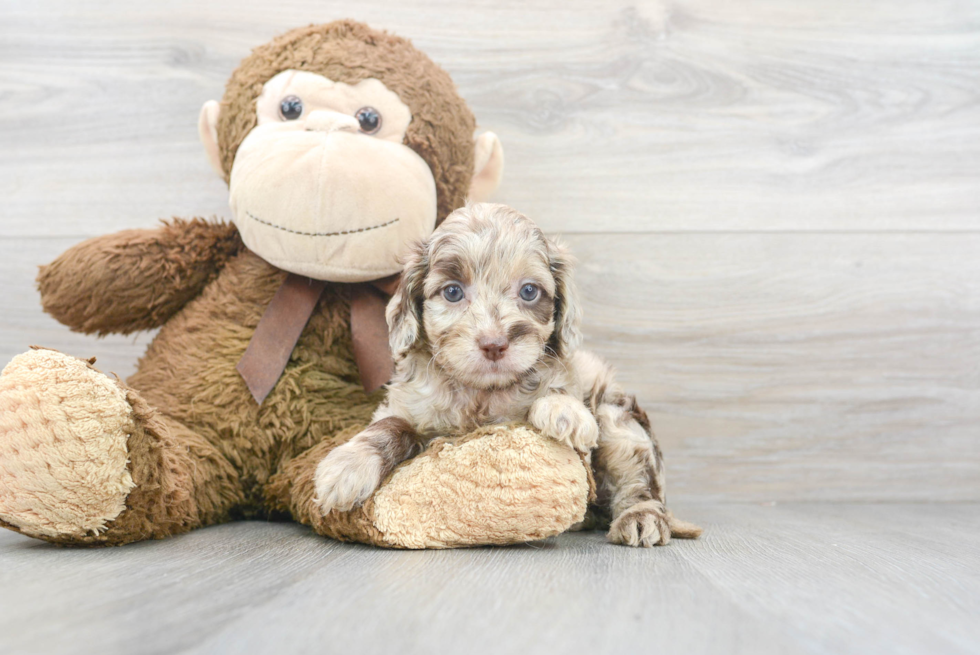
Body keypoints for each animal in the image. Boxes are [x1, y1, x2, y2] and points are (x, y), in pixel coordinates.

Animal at [318, 202, 684, 544]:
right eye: (452, 291)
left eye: (529, 291)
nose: (494, 344)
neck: (481, 394)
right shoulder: (405, 405)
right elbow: (392, 425)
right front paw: (347, 466)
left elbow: (558, 390)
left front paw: (565, 411)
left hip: (619, 422)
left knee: (639, 481)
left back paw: (642, 518)